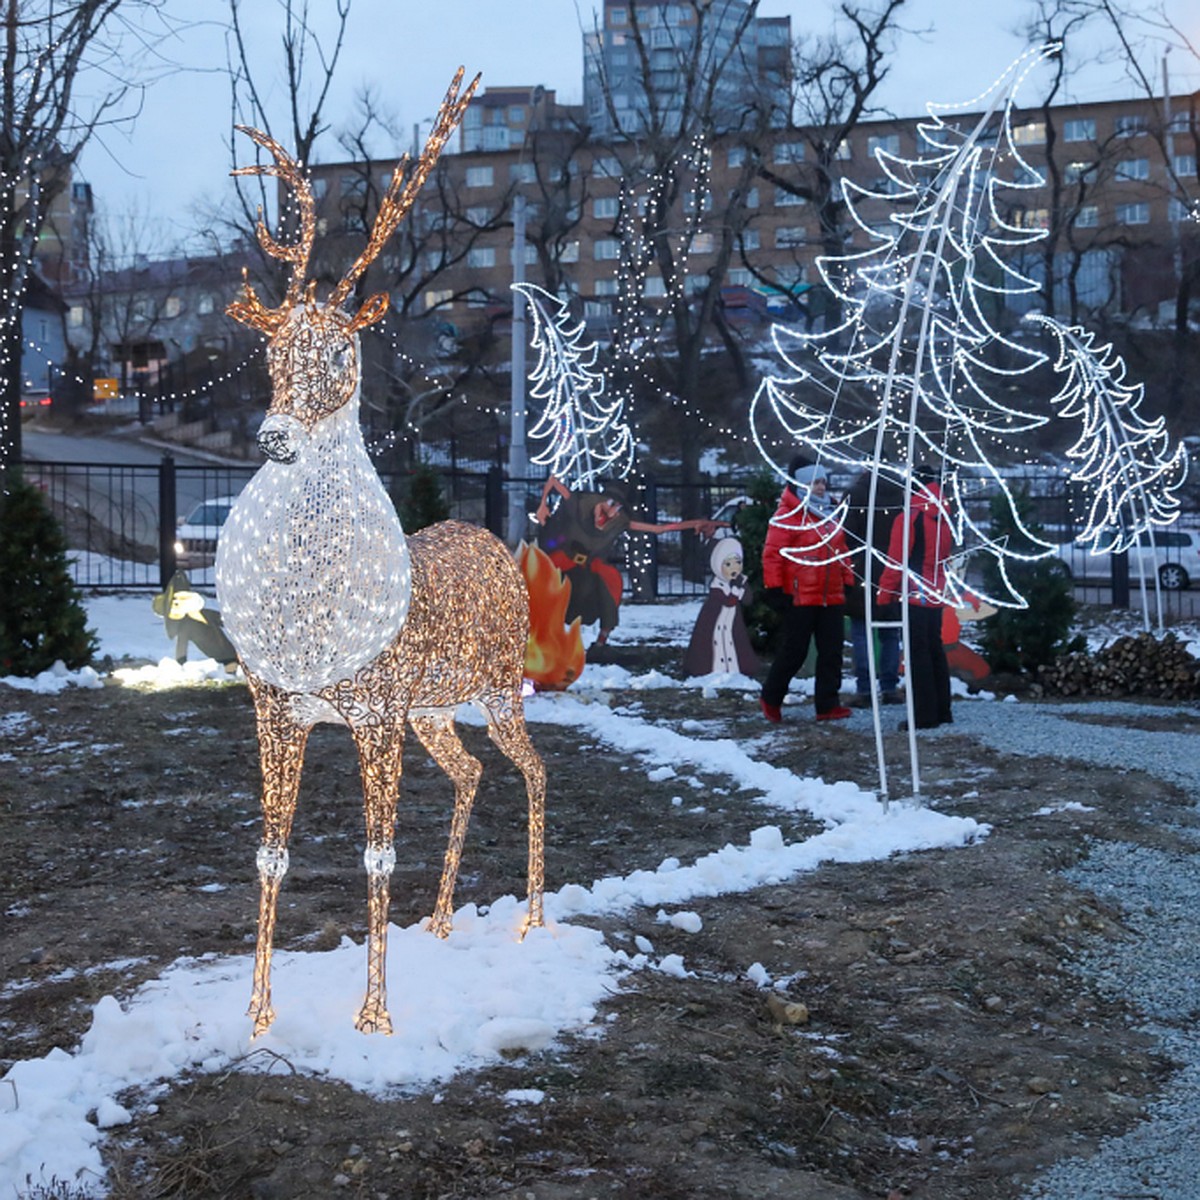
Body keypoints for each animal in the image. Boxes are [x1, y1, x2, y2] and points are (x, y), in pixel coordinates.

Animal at [218, 70, 547, 1036]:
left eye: (337, 351)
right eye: (271, 349)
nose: (274, 436)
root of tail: (492, 539)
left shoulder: (373, 709)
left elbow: (375, 854)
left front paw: (374, 1018)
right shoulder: (276, 708)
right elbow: (269, 853)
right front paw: (257, 1014)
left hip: (492, 685)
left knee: (536, 769)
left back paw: (534, 919)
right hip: (434, 711)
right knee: (473, 773)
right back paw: (439, 922)